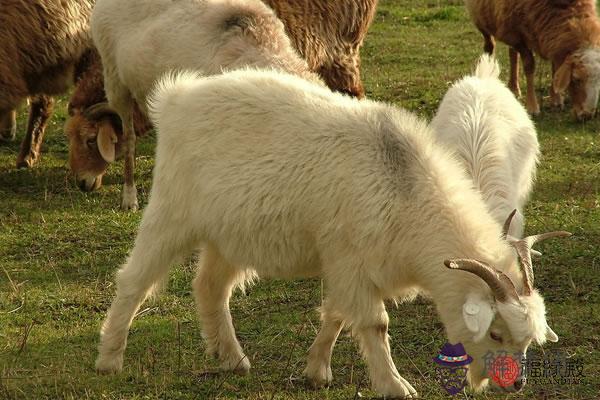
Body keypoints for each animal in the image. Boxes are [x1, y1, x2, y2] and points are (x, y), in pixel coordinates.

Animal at [466, 0, 600, 119]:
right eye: (576, 79)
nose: (587, 116)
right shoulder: (518, 35)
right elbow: (530, 66)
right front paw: (532, 107)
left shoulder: (551, 40)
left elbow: (555, 68)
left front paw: (556, 99)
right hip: (481, 17)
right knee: (489, 45)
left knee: (512, 53)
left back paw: (514, 88)